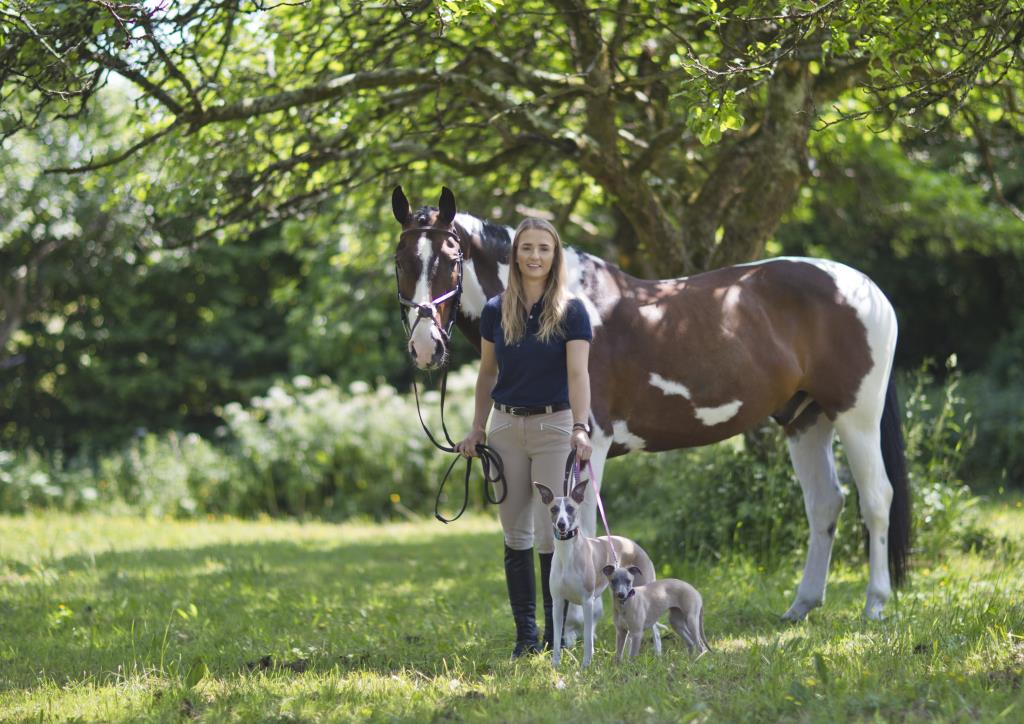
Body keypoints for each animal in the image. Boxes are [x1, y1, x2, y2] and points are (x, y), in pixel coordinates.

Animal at [387, 187, 909, 622]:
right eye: (400, 260)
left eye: (451, 259)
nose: (425, 347)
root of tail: (868, 289)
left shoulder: (589, 445)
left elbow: (583, 527)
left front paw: (584, 623)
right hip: (805, 419)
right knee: (825, 504)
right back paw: (801, 607)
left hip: (855, 416)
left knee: (876, 499)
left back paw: (874, 606)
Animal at [532, 481, 659, 667]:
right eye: (554, 509)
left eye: (570, 508)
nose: (562, 524)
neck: (567, 554)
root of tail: (635, 545)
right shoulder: (558, 602)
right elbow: (556, 637)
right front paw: (555, 664)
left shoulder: (587, 601)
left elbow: (587, 636)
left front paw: (586, 664)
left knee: (655, 629)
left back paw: (658, 654)